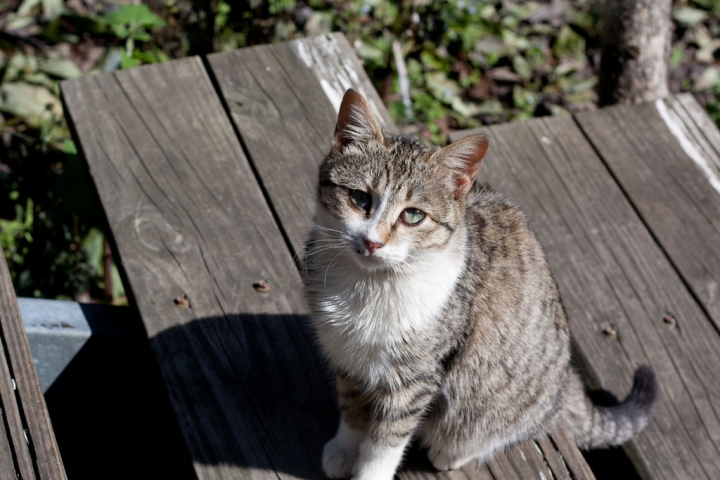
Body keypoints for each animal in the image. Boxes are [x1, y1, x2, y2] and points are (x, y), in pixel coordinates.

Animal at [304, 89, 660, 480]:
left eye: (413, 216)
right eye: (359, 198)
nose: (373, 242)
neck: (369, 285)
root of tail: (566, 379)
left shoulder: (416, 377)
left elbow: (386, 439)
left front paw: (368, 472)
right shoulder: (345, 355)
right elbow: (352, 407)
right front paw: (344, 448)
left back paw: (452, 452)